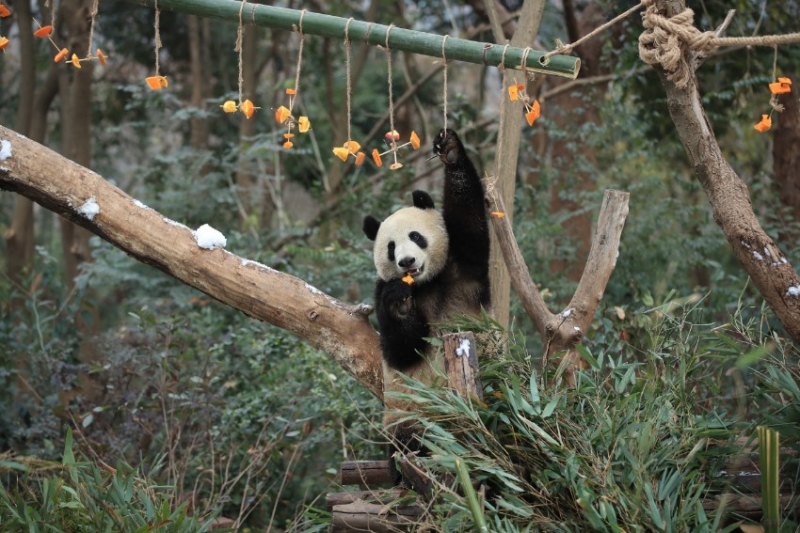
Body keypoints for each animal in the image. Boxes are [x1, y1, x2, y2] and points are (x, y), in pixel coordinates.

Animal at [360, 129, 488, 470]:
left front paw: (451, 152)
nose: (406, 262)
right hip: (408, 414)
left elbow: (469, 223)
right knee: (410, 439)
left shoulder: (463, 266)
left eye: (416, 236)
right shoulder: (379, 290)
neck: (425, 283)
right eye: (391, 247)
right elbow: (400, 349)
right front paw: (401, 304)